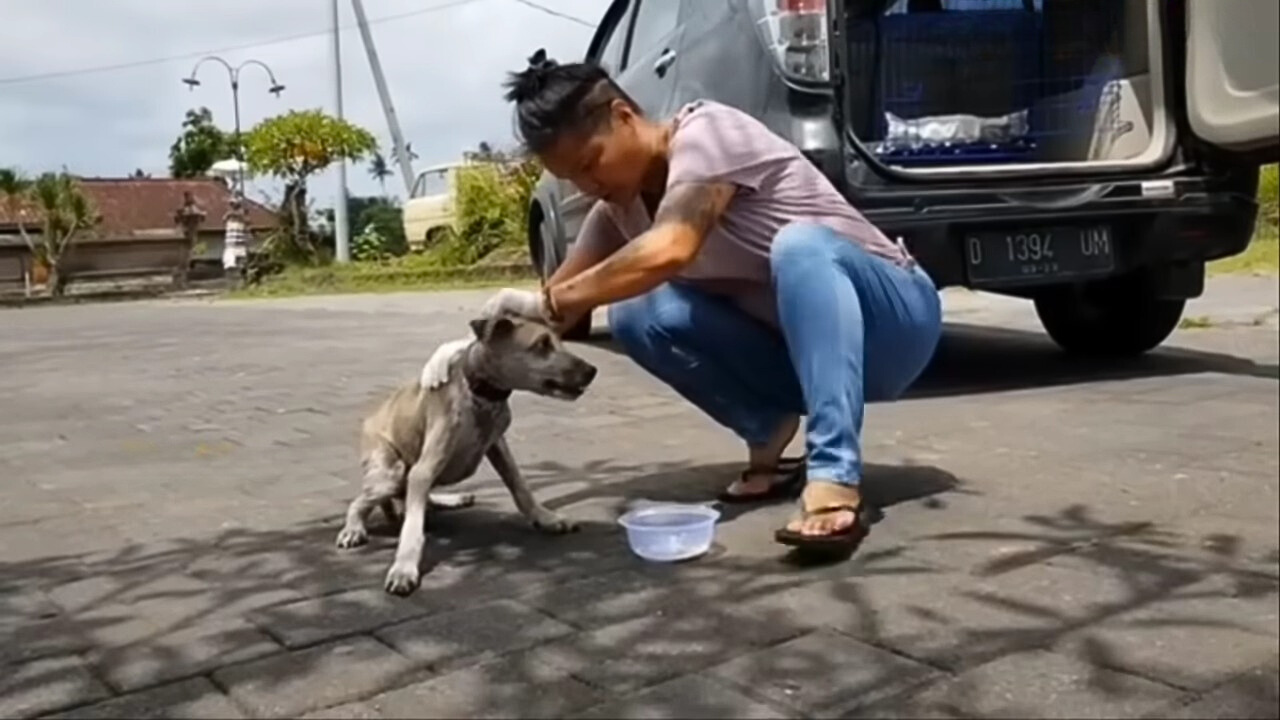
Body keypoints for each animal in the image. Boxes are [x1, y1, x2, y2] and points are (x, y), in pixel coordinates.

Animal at [340, 313, 599, 594]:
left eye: (560, 341)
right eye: (541, 344)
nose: (591, 371)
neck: (480, 393)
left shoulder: (497, 445)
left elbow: (520, 486)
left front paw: (546, 518)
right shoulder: (424, 468)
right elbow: (413, 528)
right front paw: (404, 568)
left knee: (417, 498)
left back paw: (454, 499)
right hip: (391, 473)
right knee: (361, 502)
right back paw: (353, 529)